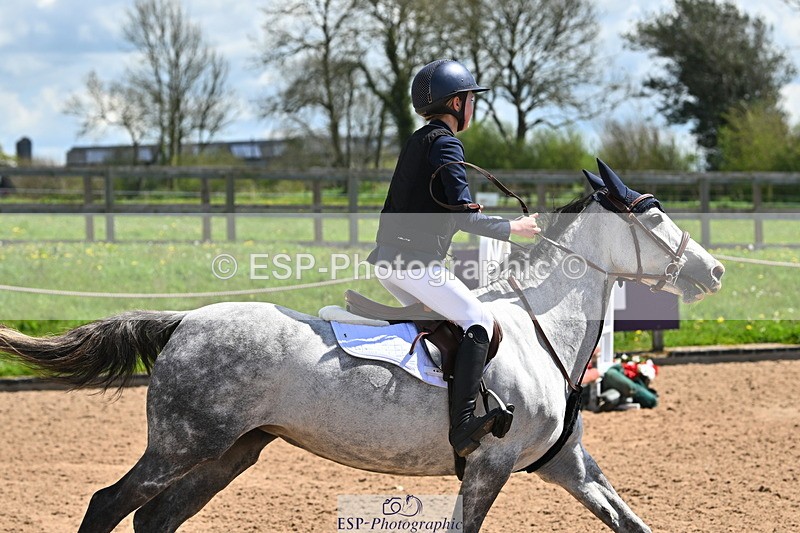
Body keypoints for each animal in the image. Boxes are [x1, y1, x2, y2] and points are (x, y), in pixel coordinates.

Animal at [0, 160, 724, 532]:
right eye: (655, 216)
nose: (712, 270)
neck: (541, 328)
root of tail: (184, 321)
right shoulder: (489, 465)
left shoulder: (567, 465)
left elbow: (632, 524)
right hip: (182, 444)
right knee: (109, 504)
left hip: (229, 451)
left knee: (154, 520)